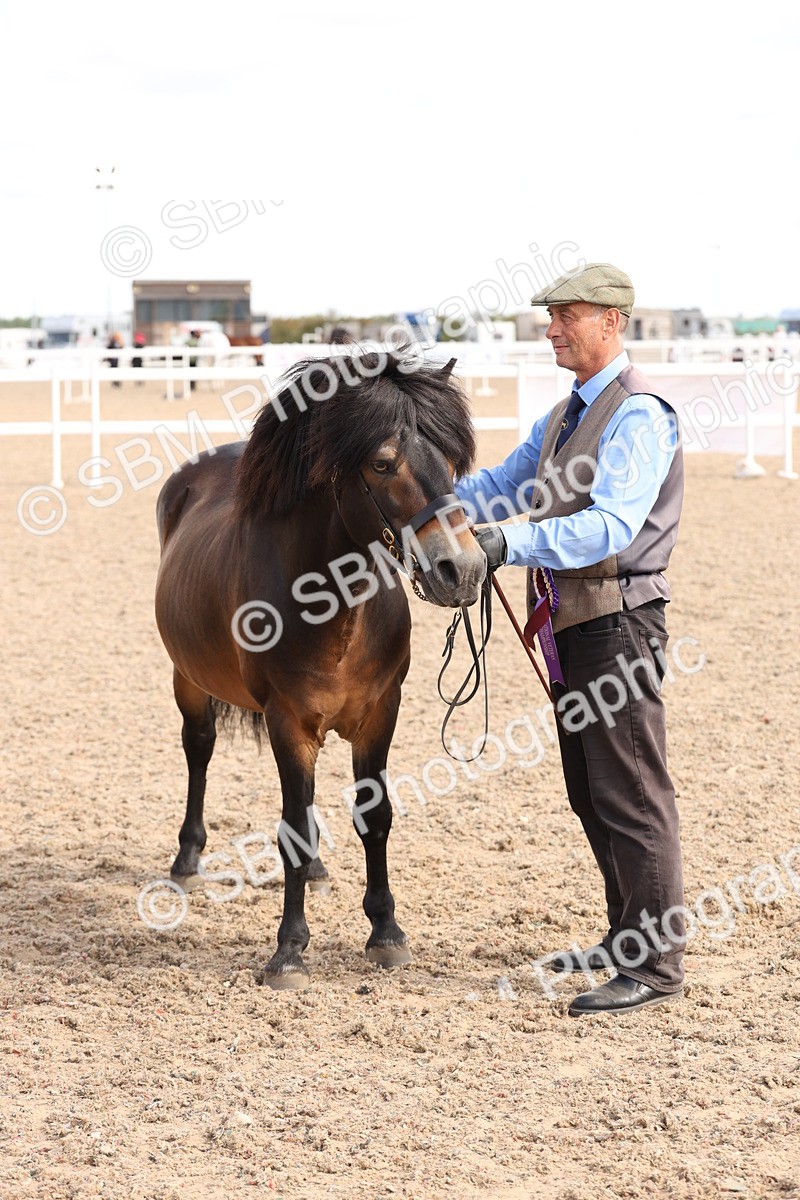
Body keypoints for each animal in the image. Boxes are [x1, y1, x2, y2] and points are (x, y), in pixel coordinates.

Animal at [154, 349, 486, 989]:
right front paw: (289, 949)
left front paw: (386, 931)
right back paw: (187, 857)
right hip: (189, 680)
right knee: (199, 749)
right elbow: (293, 829)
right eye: (382, 463)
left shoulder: (380, 714)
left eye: (453, 461)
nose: (463, 569)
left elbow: (373, 815)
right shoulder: (289, 722)